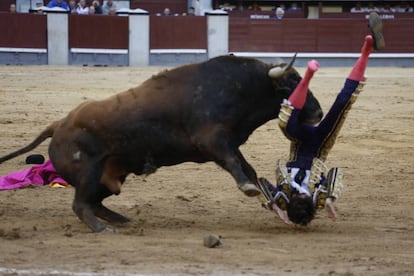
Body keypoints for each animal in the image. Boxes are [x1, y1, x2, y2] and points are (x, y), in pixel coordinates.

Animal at [0, 55, 324, 232]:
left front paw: (271, 199)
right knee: (81, 205)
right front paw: (248, 189)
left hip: (108, 178)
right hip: (89, 172)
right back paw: (103, 228)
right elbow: (236, 164)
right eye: (292, 83)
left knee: (94, 203)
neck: (242, 87)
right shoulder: (212, 139)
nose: (319, 113)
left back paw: (121, 219)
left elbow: (250, 168)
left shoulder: (228, 141)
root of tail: (59, 124)